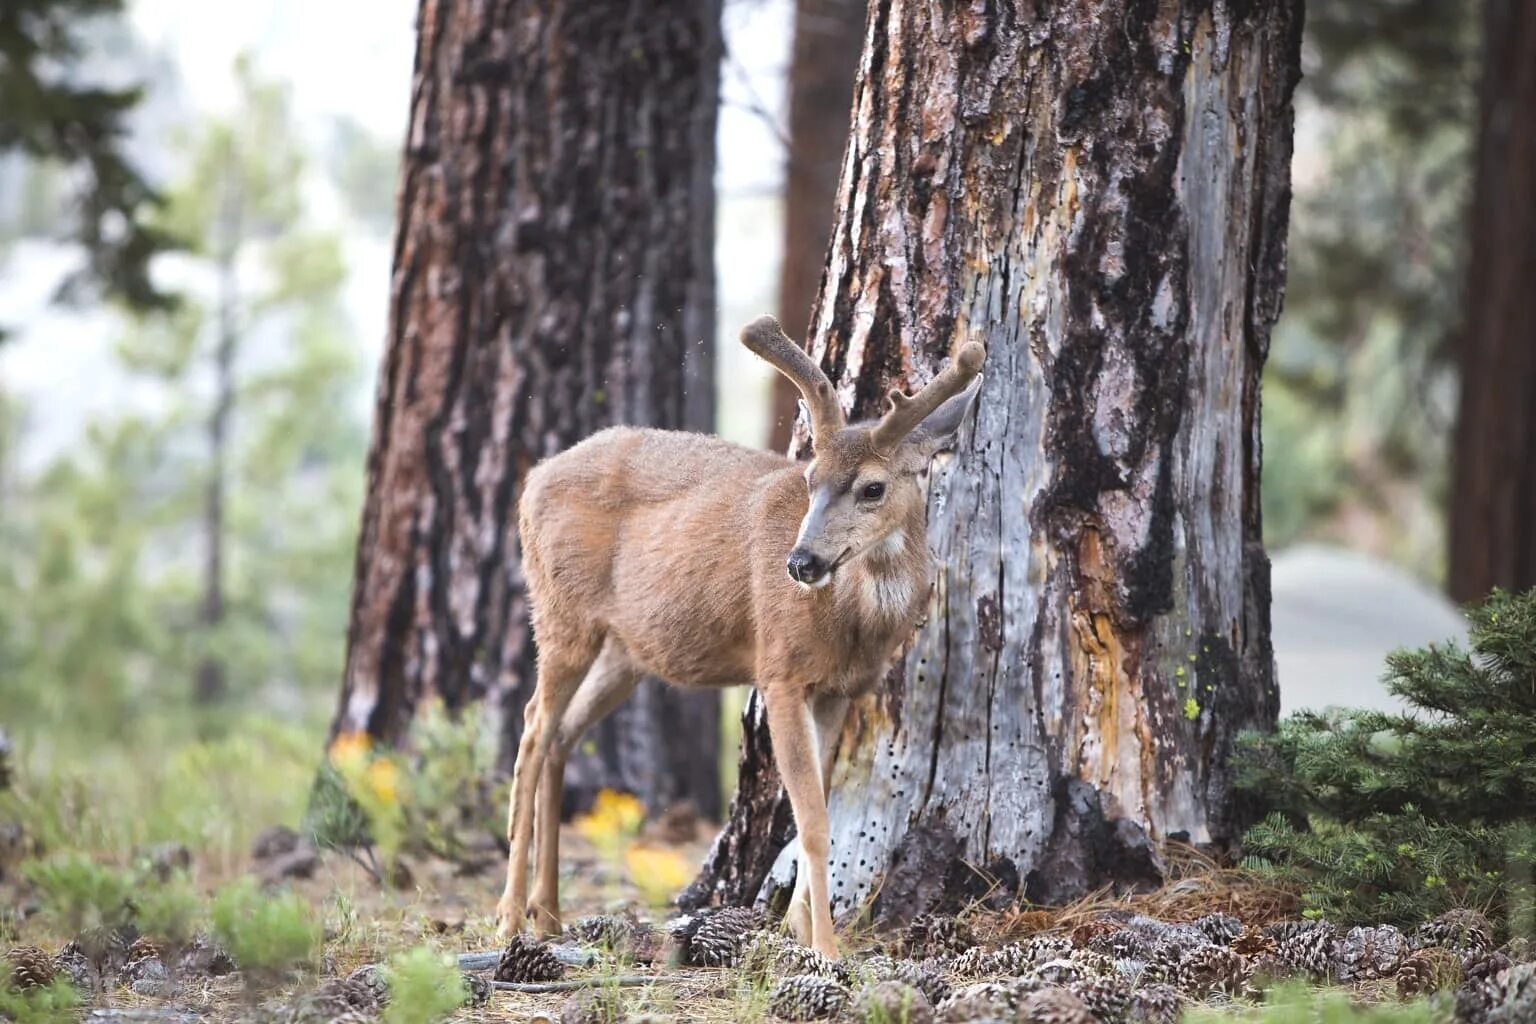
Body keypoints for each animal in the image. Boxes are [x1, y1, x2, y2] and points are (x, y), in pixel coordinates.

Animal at [497, 316, 989, 957]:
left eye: (873, 488)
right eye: (810, 477)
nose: (801, 562)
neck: (854, 621)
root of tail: (532, 480)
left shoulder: (840, 689)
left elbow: (816, 809)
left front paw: (797, 930)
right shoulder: (780, 671)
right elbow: (813, 821)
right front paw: (824, 949)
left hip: (625, 651)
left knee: (561, 735)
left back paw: (549, 914)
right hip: (562, 612)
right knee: (533, 729)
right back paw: (509, 916)